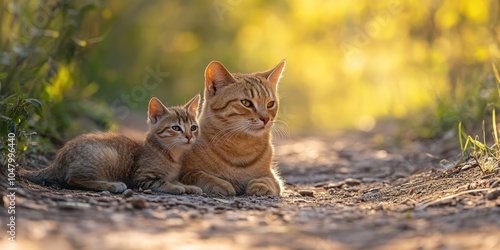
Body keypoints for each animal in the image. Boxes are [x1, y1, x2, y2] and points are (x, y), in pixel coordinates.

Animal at [21, 95, 201, 195]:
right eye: (176, 128)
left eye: (193, 127)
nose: (189, 137)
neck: (172, 154)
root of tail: (60, 158)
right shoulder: (142, 177)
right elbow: (162, 182)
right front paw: (176, 187)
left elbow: (177, 181)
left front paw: (189, 186)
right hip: (106, 157)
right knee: (72, 180)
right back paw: (112, 185)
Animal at [180, 60, 286, 195]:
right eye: (246, 103)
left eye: (270, 104)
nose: (266, 119)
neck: (241, 146)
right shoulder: (185, 173)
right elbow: (200, 175)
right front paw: (220, 184)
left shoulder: (273, 177)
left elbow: (267, 180)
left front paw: (261, 185)